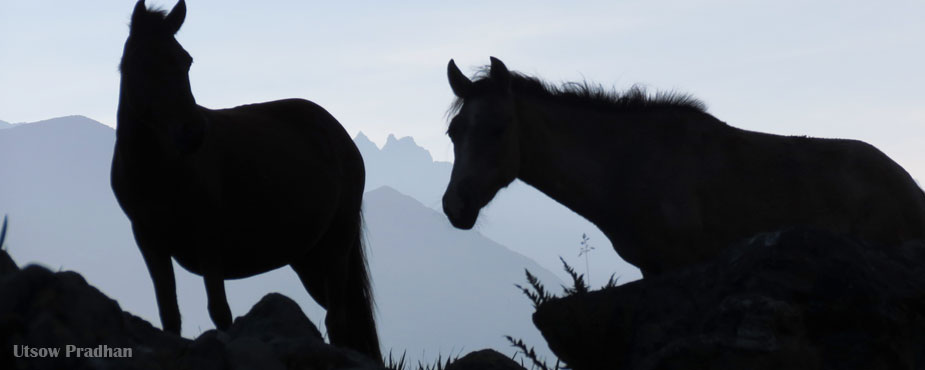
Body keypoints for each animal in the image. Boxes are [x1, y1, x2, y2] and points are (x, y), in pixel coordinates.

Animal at [112, 0, 378, 358]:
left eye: (186, 61)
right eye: (144, 62)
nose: (193, 133)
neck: (158, 169)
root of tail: (340, 136)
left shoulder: (208, 240)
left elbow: (220, 312)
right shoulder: (149, 241)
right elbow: (170, 314)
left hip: (337, 244)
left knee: (338, 320)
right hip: (309, 258)